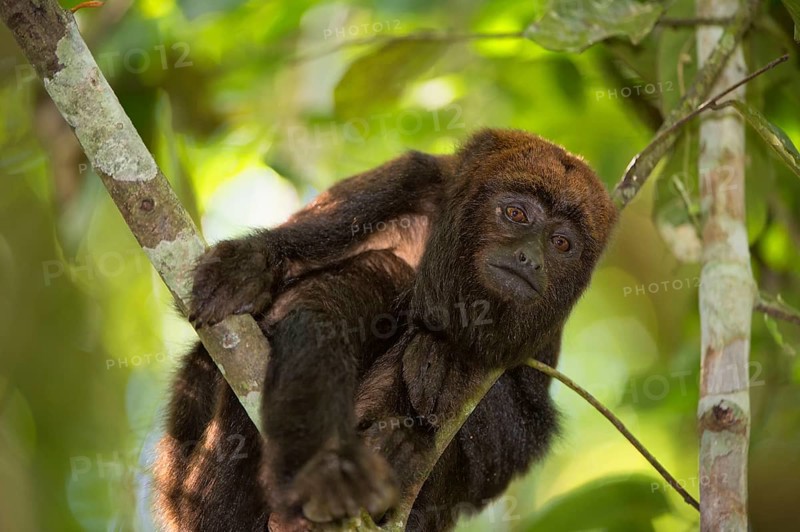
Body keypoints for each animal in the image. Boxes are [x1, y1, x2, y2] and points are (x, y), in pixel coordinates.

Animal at [152, 129, 617, 532]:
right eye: (516, 214)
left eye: (562, 244)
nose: (530, 259)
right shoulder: (402, 181)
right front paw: (255, 263)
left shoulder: (548, 330)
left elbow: (514, 444)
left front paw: (448, 357)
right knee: (362, 281)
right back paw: (327, 474)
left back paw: (395, 449)